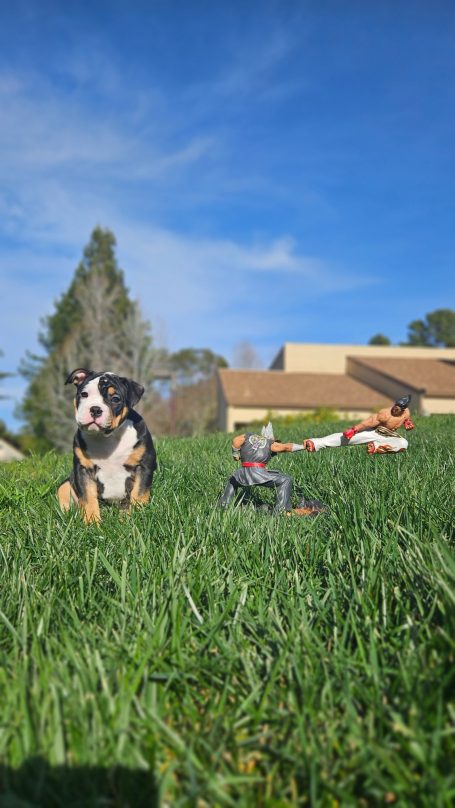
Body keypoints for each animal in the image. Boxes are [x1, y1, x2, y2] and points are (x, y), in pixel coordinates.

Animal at [57, 368, 157, 524]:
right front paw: (92, 522)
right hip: (64, 486)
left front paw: (135, 518)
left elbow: (139, 494)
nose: (95, 409)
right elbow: (88, 498)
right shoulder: (84, 469)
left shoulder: (144, 465)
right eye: (84, 394)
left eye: (115, 399)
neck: (106, 437)